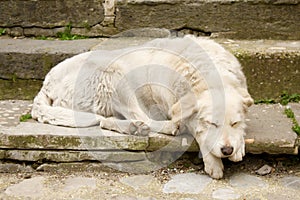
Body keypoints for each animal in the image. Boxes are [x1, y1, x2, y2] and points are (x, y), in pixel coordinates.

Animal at [31, 35, 253, 178]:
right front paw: (213, 163)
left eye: (234, 123)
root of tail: (47, 82)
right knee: (138, 117)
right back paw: (149, 127)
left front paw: (239, 145)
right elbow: (199, 133)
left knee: (110, 120)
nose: (227, 150)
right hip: (115, 72)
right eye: (211, 124)